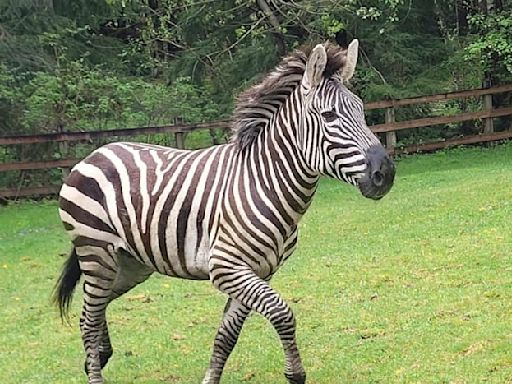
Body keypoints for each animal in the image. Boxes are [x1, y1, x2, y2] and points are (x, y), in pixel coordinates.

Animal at [53, 39, 396, 384]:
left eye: (361, 110)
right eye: (329, 116)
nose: (386, 173)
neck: (264, 183)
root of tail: (94, 154)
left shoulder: (259, 271)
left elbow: (226, 336)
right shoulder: (226, 267)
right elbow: (281, 312)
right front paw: (295, 373)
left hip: (131, 263)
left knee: (93, 308)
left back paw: (99, 355)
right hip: (97, 252)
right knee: (89, 318)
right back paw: (95, 368)